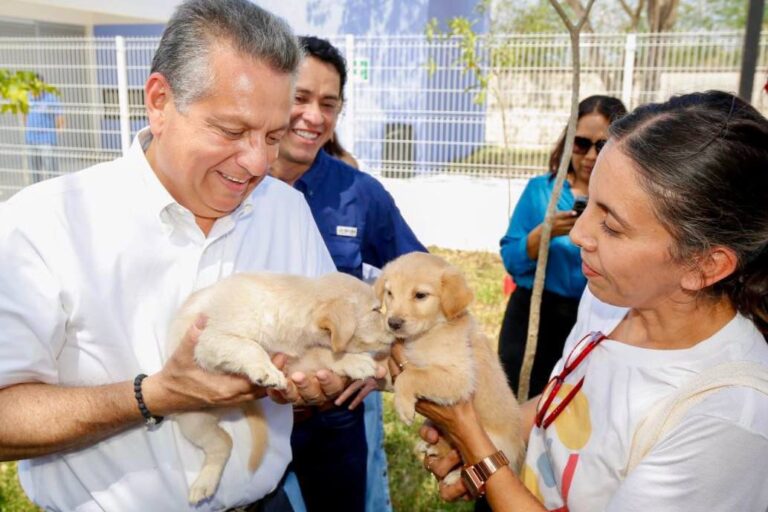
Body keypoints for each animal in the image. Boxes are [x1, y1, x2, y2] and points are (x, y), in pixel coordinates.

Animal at [169, 272, 396, 504]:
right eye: (376, 310)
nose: (395, 328)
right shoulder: (209, 340)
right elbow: (250, 346)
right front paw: (266, 370)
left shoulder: (294, 360)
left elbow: (323, 354)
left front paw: (355, 362)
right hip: (193, 420)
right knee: (223, 442)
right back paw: (204, 484)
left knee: (223, 442)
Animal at [374, 254, 524, 482]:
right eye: (390, 293)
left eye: (420, 295)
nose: (393, 323)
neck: (427, 333)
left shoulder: (459, 377)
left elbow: (410, 375)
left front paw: (403, 407)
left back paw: (455, 476)